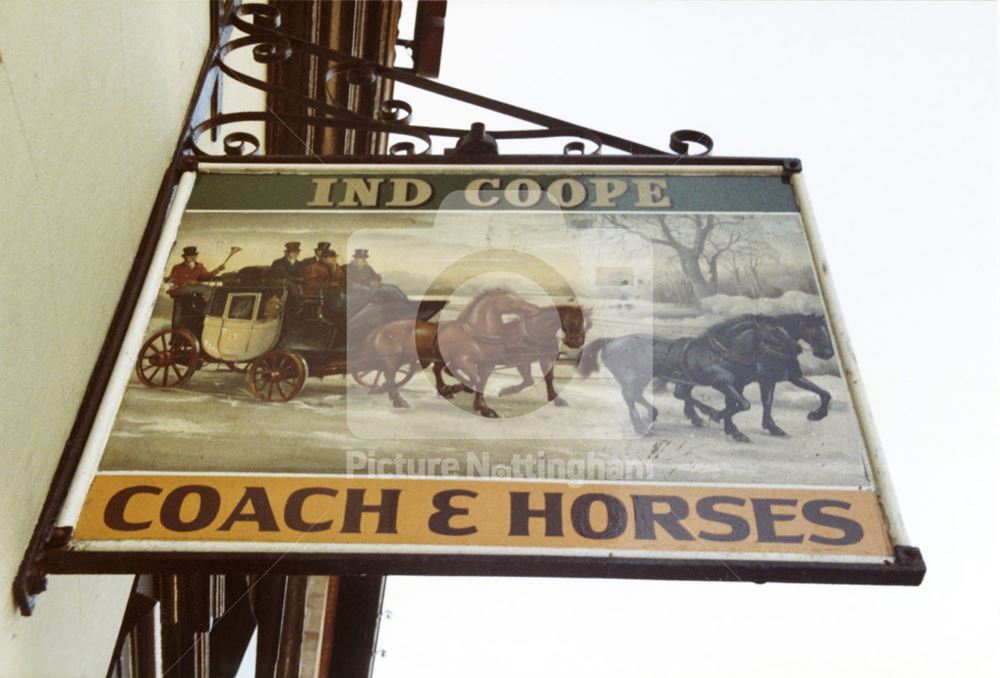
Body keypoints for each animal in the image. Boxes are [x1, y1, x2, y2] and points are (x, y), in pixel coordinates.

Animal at [580, 316, 836, 444]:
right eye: (775, 331)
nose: (827, 353)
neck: (727, 352)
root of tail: (611, 341)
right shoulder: (738, 382)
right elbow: (745, 404)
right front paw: (726, 422)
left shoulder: (761, 381)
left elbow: (823, 393)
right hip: (636, 376)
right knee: (630, 396)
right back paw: (643, 424)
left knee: (662, 394)